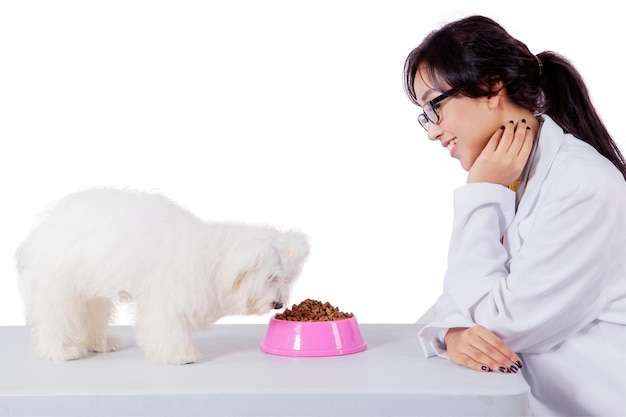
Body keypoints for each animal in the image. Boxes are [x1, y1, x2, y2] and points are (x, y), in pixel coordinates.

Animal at [18, 187, 310, 362]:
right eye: (271, 277)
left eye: (285, 279)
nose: (279, 303)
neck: (209, 259)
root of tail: (45, 225)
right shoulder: (167, 298)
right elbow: (166, 327)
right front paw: (181, 355)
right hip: (61, 286)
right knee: (55, 318)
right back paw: (62, 350)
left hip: (90, 288)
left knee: (91, 314)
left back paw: (99, 342)